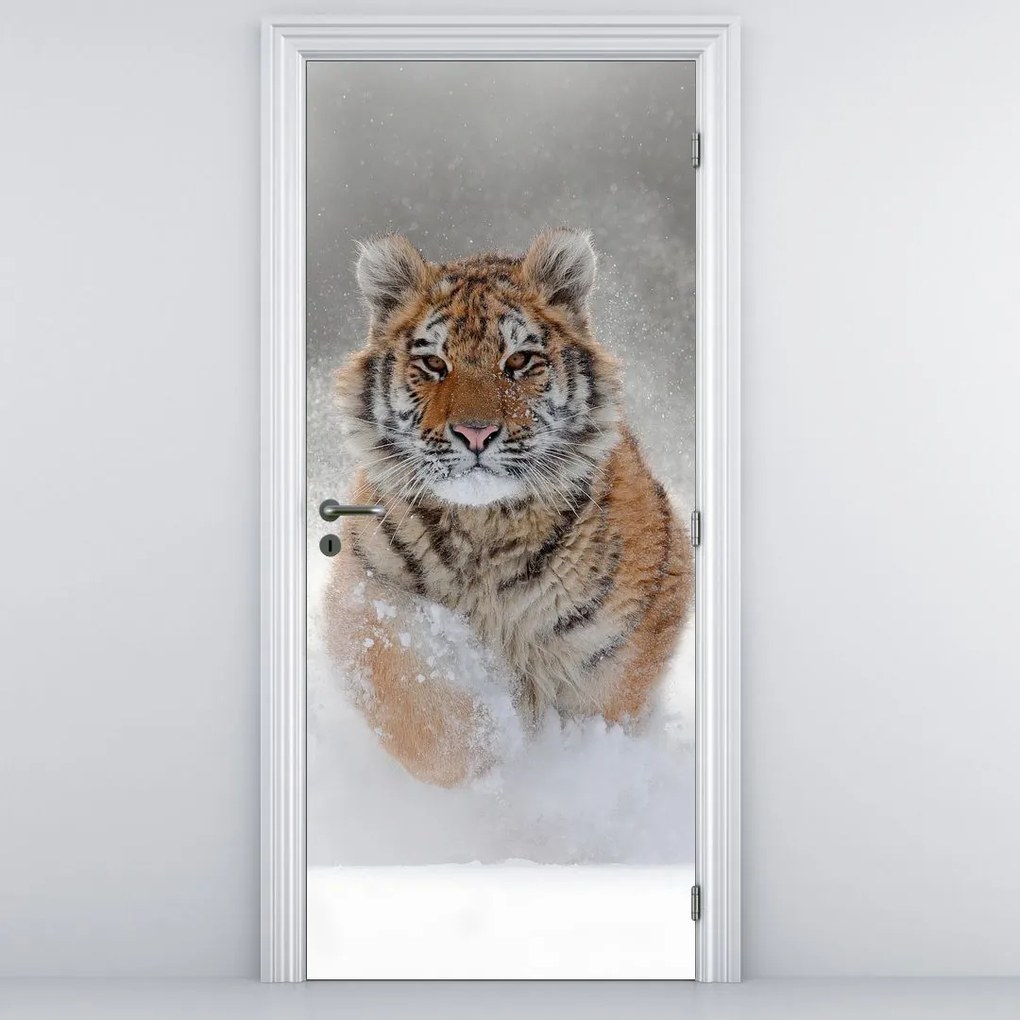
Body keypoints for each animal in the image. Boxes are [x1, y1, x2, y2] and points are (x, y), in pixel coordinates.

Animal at [323, 227, 693, 787]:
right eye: (434, 364)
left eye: (518, 361)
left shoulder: (621, 640)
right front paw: (490, 758)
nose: (475, 433)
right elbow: (418, 701)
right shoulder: (365, 589)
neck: (485, 529)